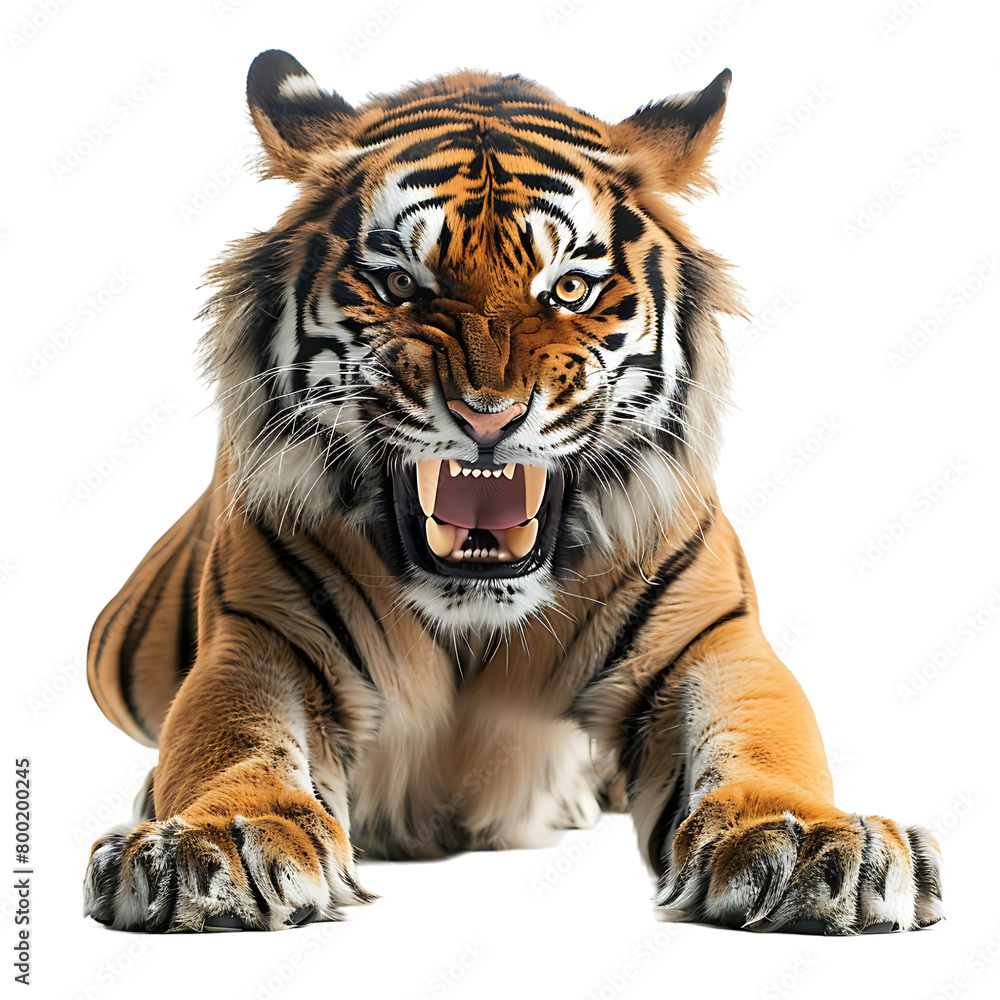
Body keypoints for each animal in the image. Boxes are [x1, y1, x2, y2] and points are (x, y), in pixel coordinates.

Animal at [83, 49, 943, 935]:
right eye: (400, 284)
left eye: (567, 290)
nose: (486, 415)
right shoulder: (262, 638)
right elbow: (229, 738)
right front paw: (218, 840)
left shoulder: (711, 642)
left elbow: (767, 736)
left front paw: (805, 840)